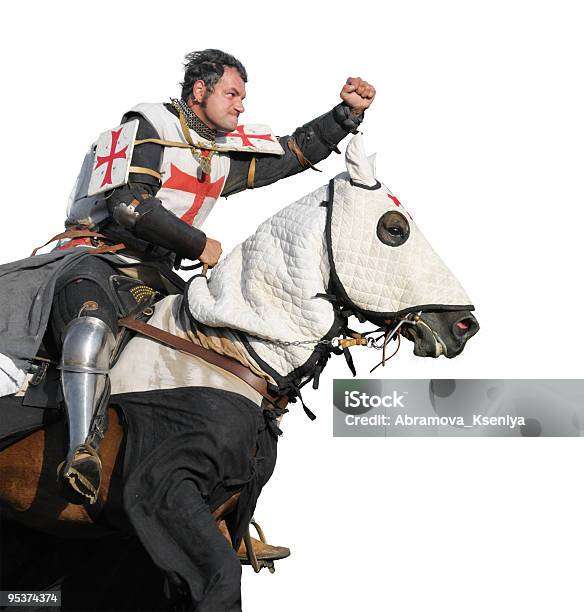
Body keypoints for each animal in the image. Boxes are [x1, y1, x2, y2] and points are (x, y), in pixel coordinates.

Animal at [0, 133, 480, 608]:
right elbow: (221, 581)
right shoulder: (163, 493)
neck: (223, 350)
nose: (464, 326)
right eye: (394, 229)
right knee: (90, 321)